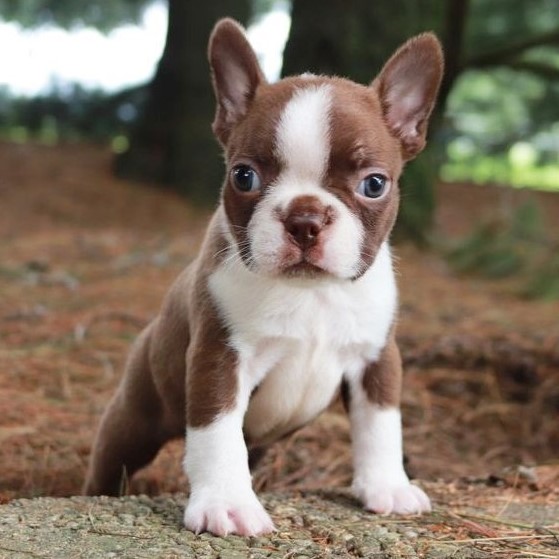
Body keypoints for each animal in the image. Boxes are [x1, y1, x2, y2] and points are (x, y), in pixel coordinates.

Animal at [83, 18, 444, 540]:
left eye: (374, 184)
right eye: (244, 176)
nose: (305, 218)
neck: (313, 294)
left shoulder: (377, 359)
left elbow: (381, 425)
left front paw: (387, 487)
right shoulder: (220, 357)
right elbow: (216, 433)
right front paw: (227, 504)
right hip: (138, 413)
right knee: (116, 452)